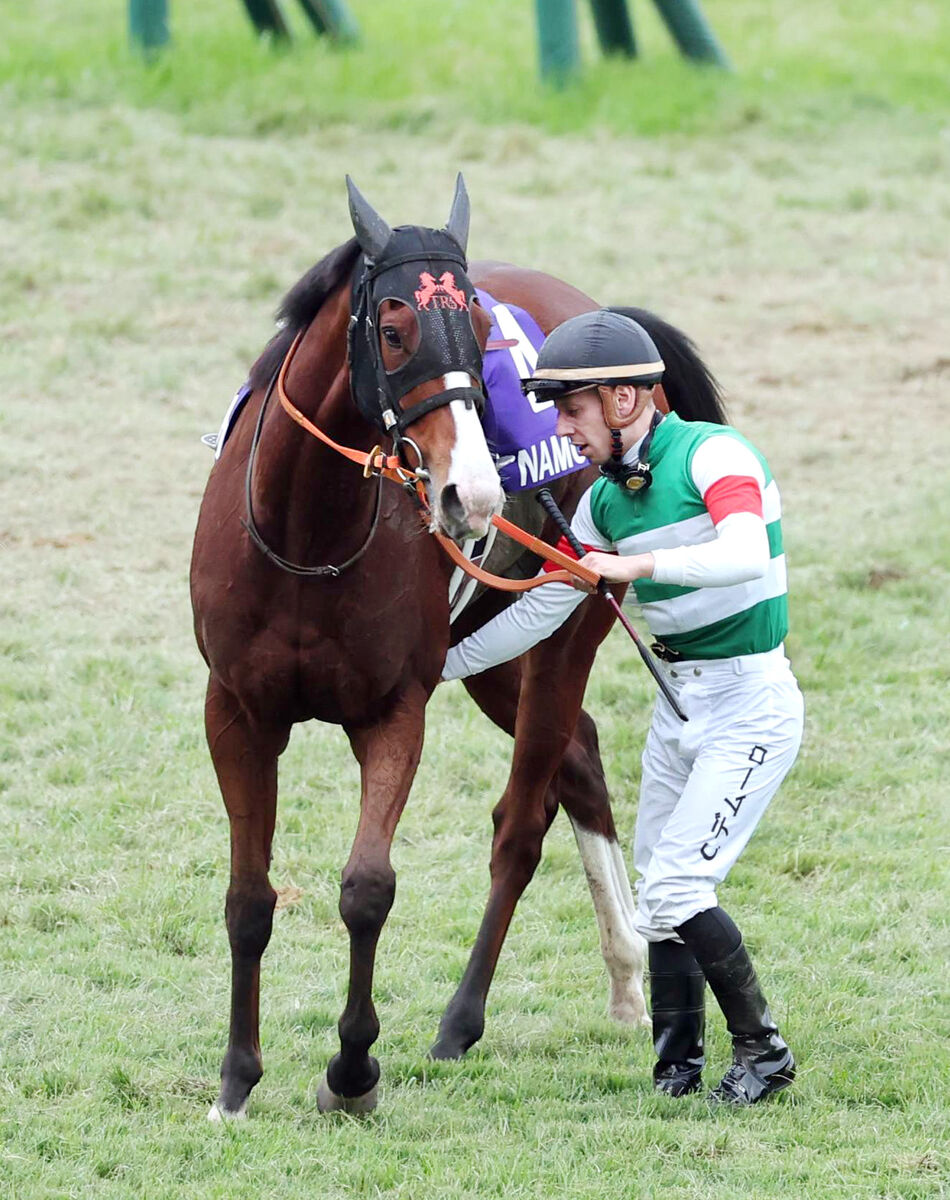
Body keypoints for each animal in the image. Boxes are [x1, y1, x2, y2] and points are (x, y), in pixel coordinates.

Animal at [193, 175, 729, 1113]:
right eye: (395, 325)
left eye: (480, 334)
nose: (471, 495)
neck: (306, 538)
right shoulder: (237, 711)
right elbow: (249, 899)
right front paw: (236, 1079)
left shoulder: (393, 710)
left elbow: (368, 888)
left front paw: (352, 1071)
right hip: (490, 655)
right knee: (580, 757)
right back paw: (628, 972)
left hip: (566, 628)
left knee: (522, 819)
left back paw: (462, 1020)